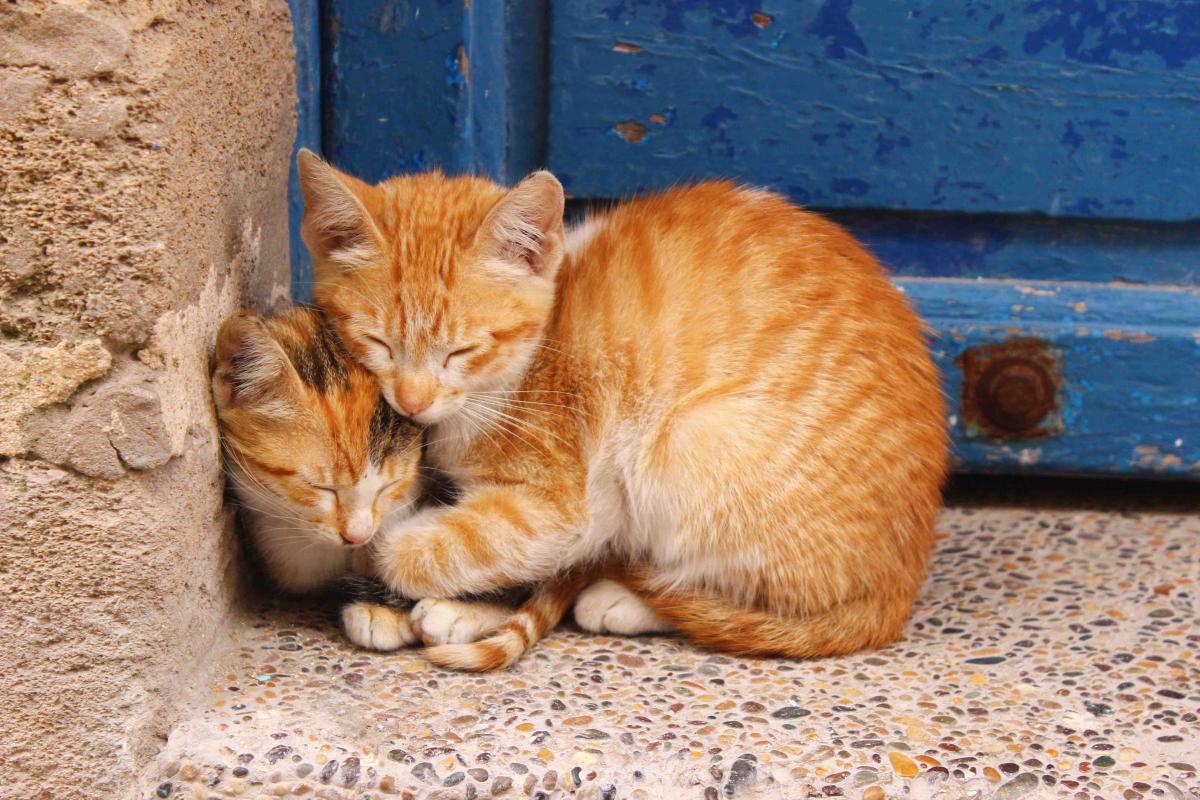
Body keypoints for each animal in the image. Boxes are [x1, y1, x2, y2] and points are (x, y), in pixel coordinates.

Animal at [297, 151, 945, 671]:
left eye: (463, 350)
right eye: (377, 343)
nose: (413, 400)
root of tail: (901, 583)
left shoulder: (577, 503)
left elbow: (458, 547)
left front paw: (416, 579)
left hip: (687, 443)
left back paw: (622, 601)